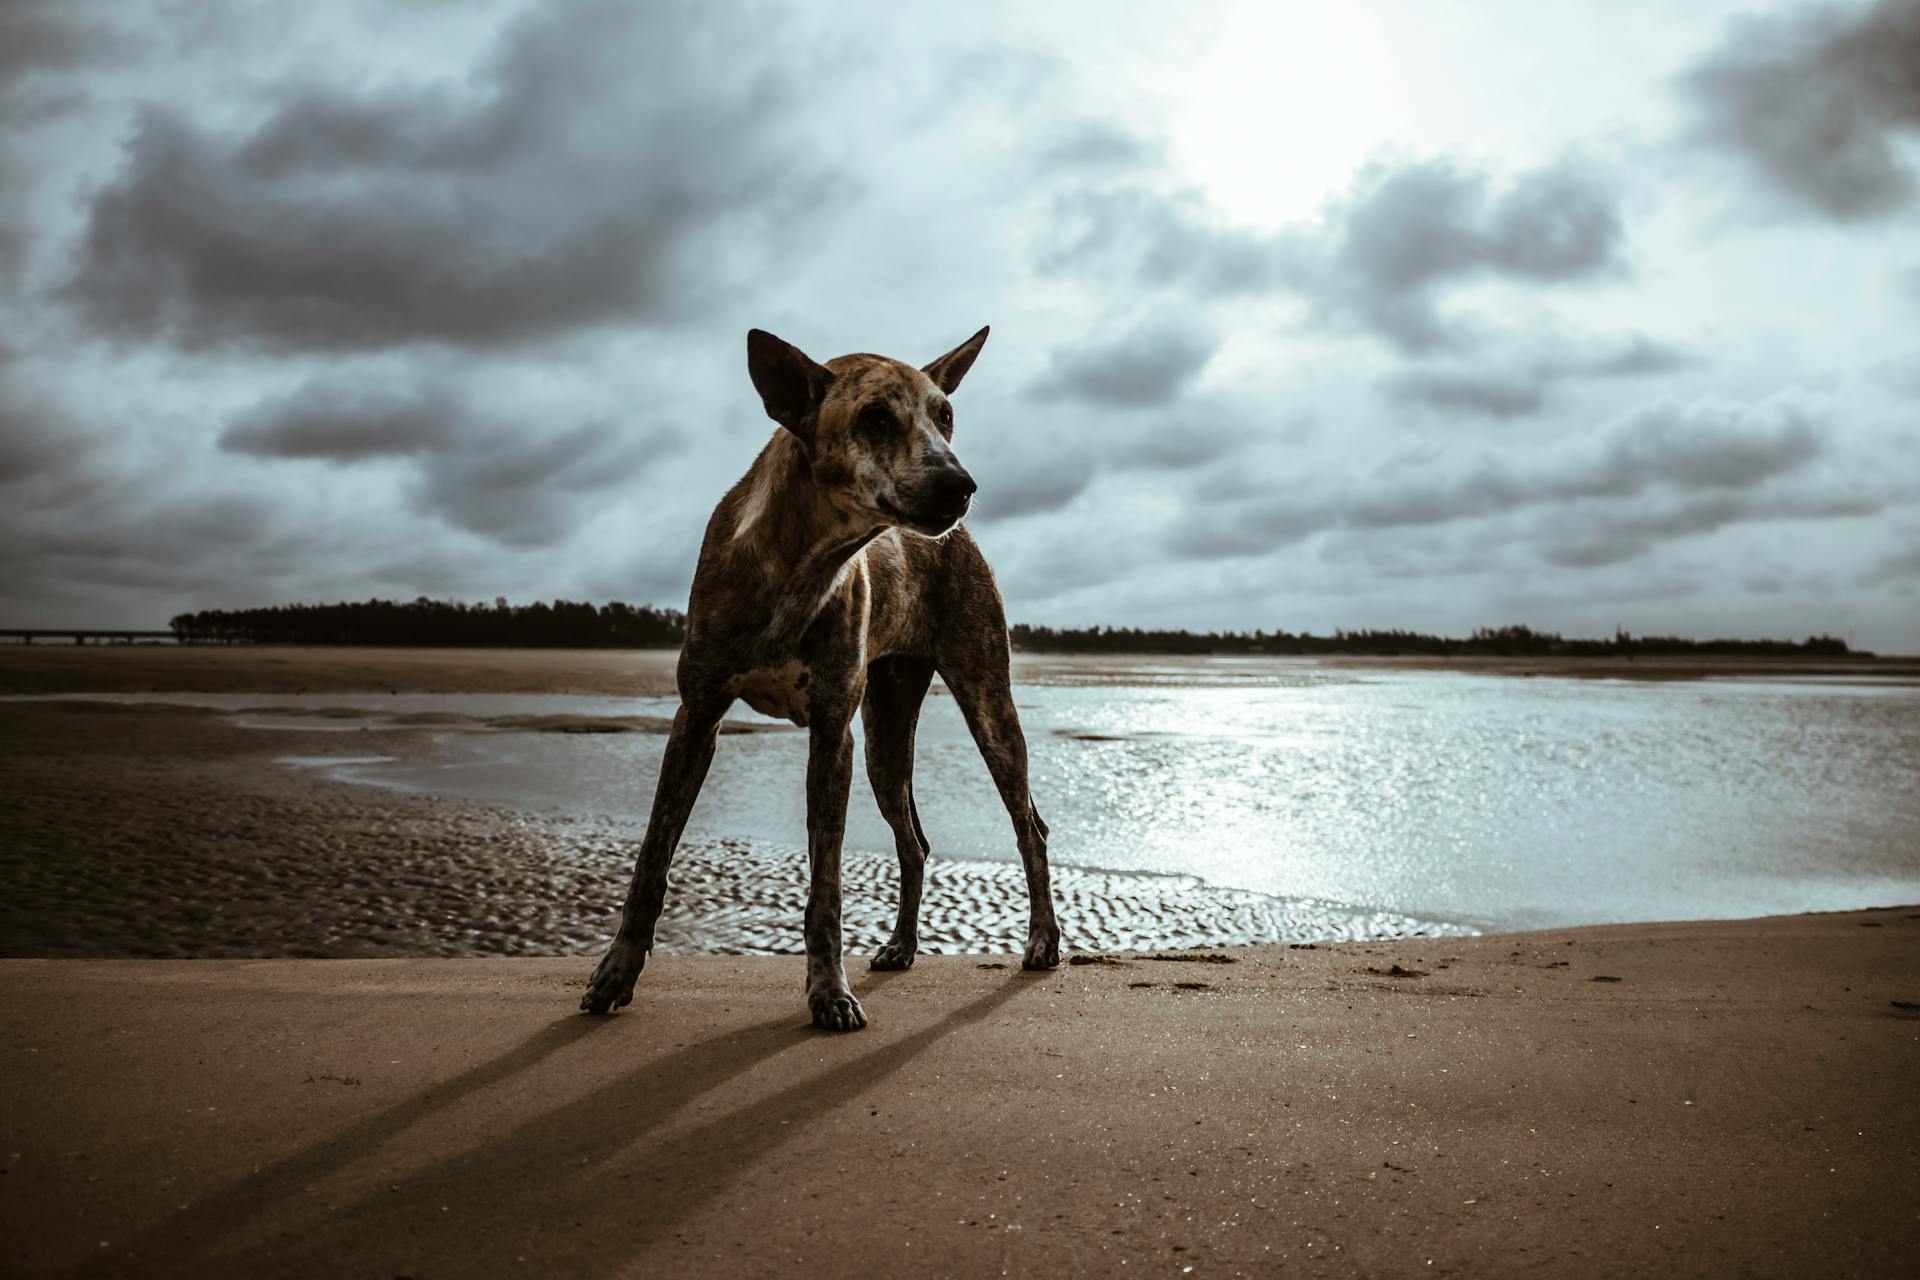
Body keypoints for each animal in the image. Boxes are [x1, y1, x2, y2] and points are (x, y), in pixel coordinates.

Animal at [583, 326, 1067, 1028]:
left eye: (945, 415)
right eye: (874, 418)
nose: (961, 485)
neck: (802, 565)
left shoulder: (833, 731)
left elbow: (827, 887)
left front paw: (829, 992)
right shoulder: (697, 716)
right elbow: (652, 858)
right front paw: (616, 973)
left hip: (986, 704)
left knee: (1030, 827)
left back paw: (1042, 941)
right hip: (887, 738)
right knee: (915, 842)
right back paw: (901, 946)